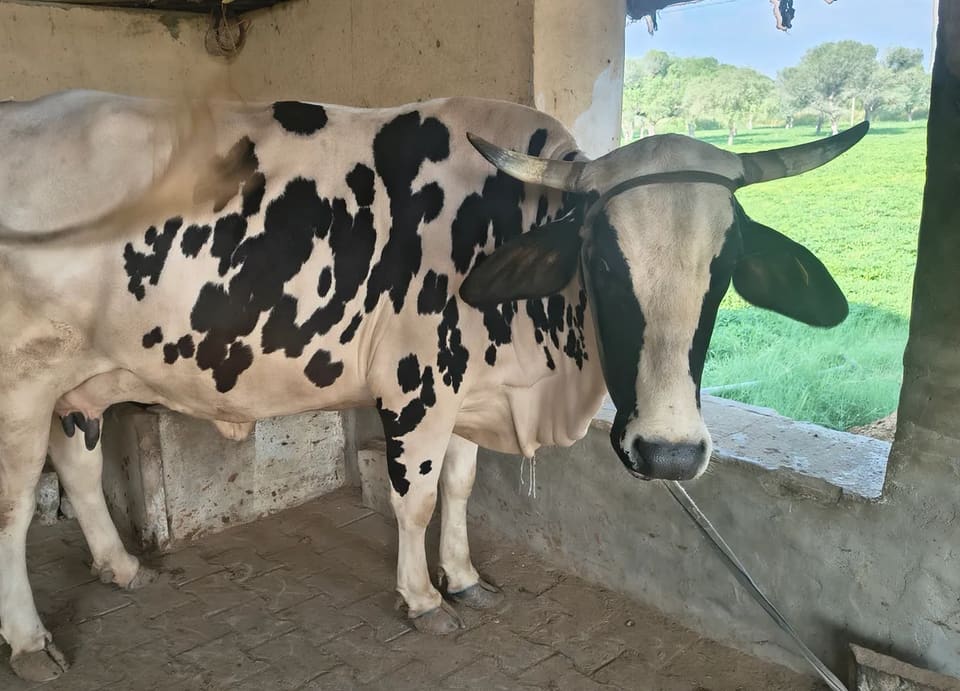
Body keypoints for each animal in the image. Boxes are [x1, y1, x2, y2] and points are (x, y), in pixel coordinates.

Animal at [0, 89, 867, 681]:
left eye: (725, 267)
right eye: (602, 255)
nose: (670, 453)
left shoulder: (466, 394)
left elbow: (459, 486)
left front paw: (466, 577)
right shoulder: (415, 388)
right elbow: (412, 500)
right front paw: (421, 599)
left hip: (73, 381)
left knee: (77, 467)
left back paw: (120, 566)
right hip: (18, 387)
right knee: (12, 512)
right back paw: (31, 640)